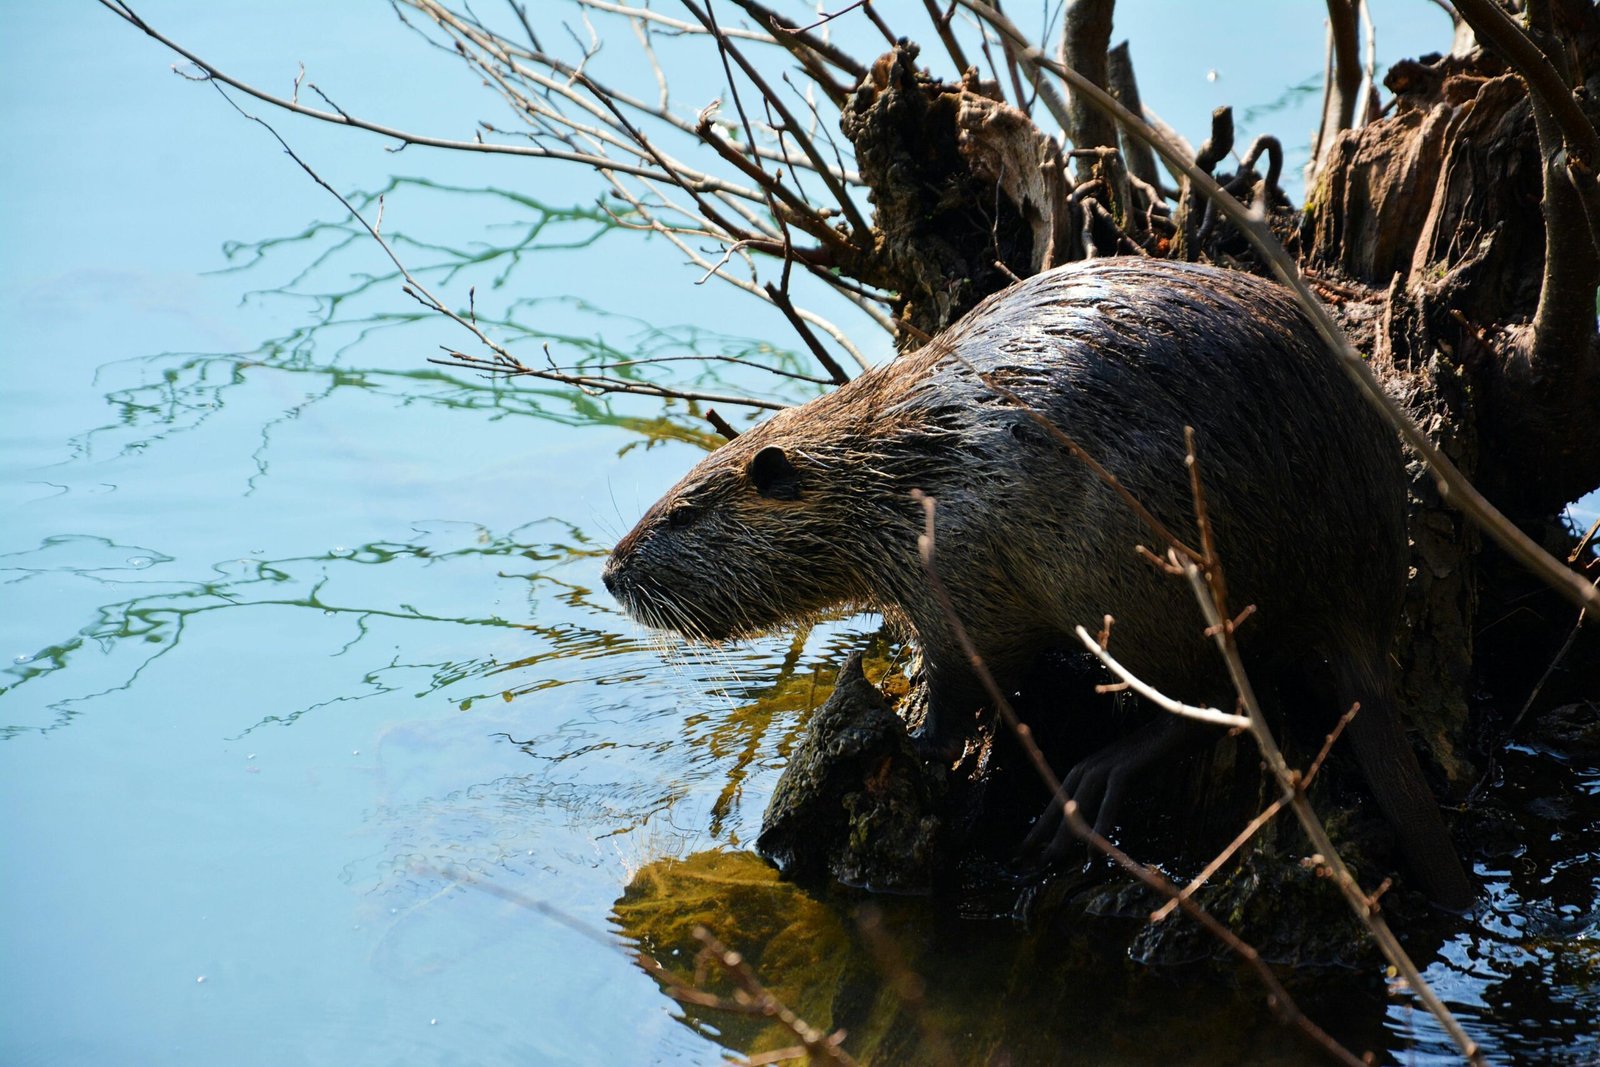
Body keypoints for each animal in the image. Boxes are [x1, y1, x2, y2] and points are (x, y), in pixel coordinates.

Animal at [601, 259, 1472, 908]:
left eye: (682, 512)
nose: (610, 572)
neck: (901, 465)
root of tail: (1362, 606)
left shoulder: (956, 569)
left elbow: (964, 680)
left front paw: (920, 738)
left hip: (1141, 580)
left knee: (1215, 699)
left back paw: (1090, 782)